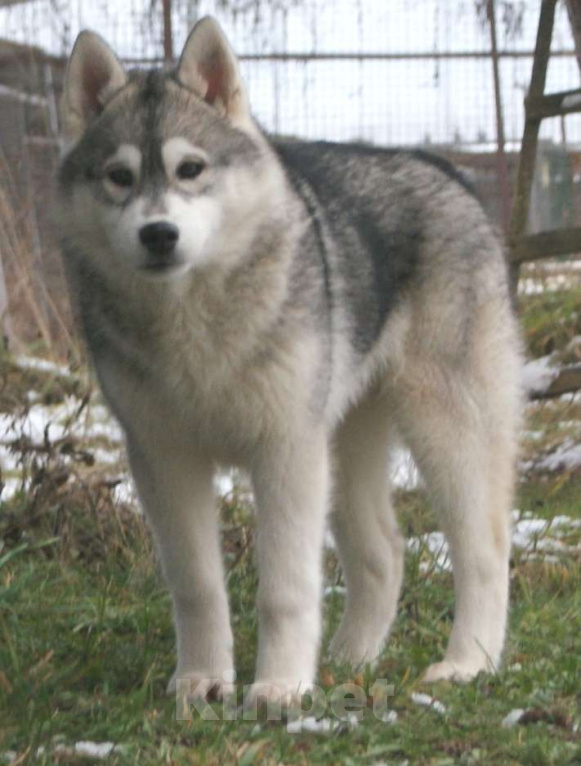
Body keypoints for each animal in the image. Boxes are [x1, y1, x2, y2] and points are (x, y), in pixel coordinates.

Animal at [55, 16, 520, 708]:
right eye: (118, 176)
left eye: (190, 168)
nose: (159, 233)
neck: (191, 321)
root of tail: (439, 167)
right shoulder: (165, 460)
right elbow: (197, 586)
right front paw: (201, 681)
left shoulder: (285, 451)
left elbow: (285, 588)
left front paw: (278, 687)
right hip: (344, 445)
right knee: (383, 553)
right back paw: (349, 661)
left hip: (445, 430)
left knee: (485, 550)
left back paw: (468, 663)